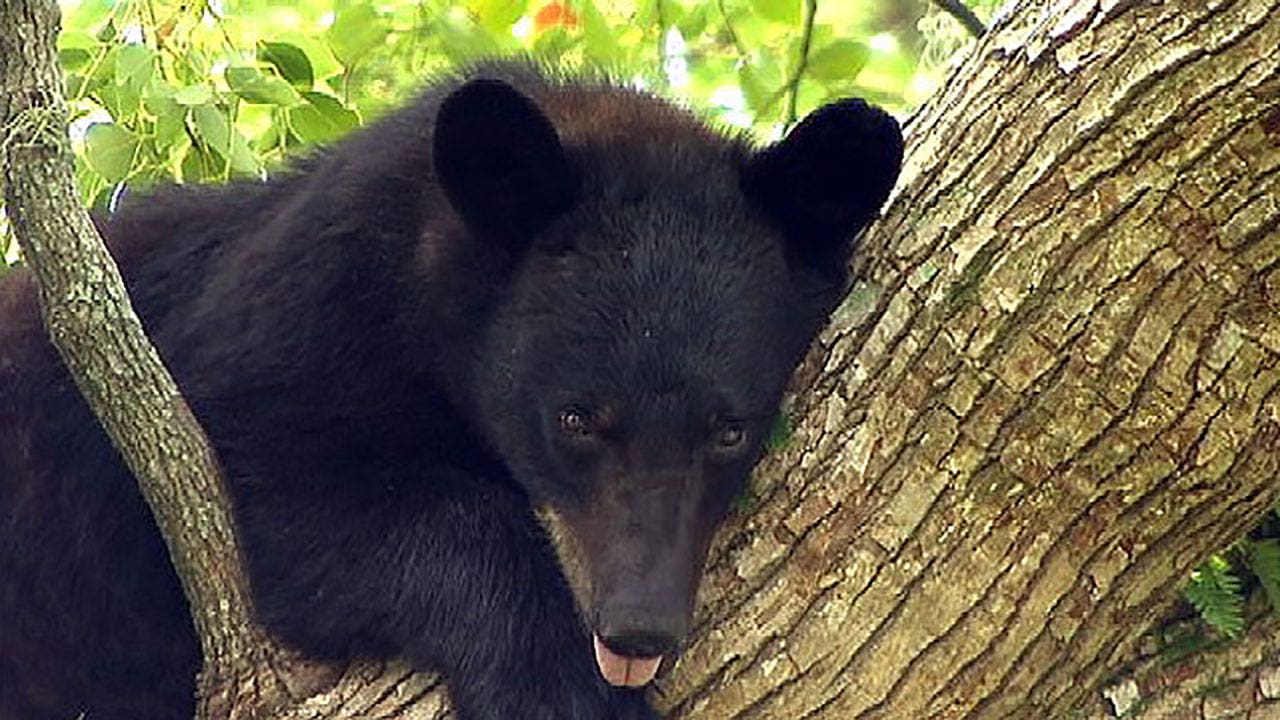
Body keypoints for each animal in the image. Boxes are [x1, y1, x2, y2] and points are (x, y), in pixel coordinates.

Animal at [0, 61, 903, 720]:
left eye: (729, 430)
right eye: (575, 419)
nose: (638, 627)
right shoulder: (270, 341)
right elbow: (282, 495)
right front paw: (561, 690)